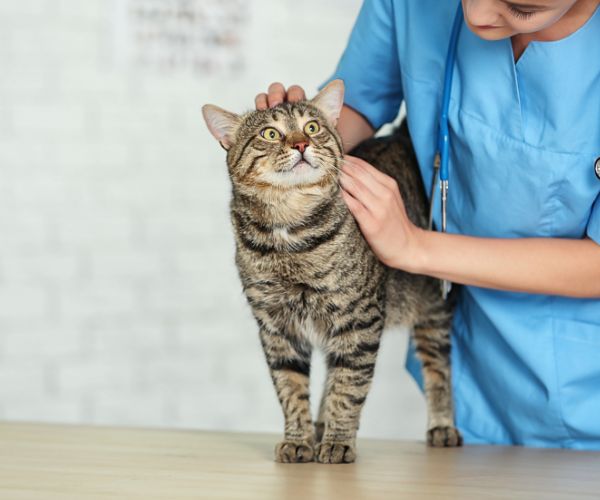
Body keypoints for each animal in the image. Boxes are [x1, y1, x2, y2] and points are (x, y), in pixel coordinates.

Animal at [204, 79, 462, 464]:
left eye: (312, 127)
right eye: (270, 133)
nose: (301, 144)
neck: (289, 232)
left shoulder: (359, 319)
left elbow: (349, 386)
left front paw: (339, 441)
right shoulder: (277, 327)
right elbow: (291, 389)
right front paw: (299, 439)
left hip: (433, 308)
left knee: (438, 368)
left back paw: (442, 426)